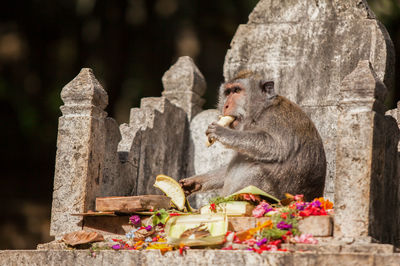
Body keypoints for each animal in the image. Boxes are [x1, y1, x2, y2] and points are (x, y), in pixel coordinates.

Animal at [180, 69, 326, 201]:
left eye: (237, 91)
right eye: (227, 92)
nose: (225, 106)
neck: (260, 111)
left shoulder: (276, 118)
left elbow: (276, 146)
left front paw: (222, 132)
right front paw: (196, 181)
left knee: (256, 170)